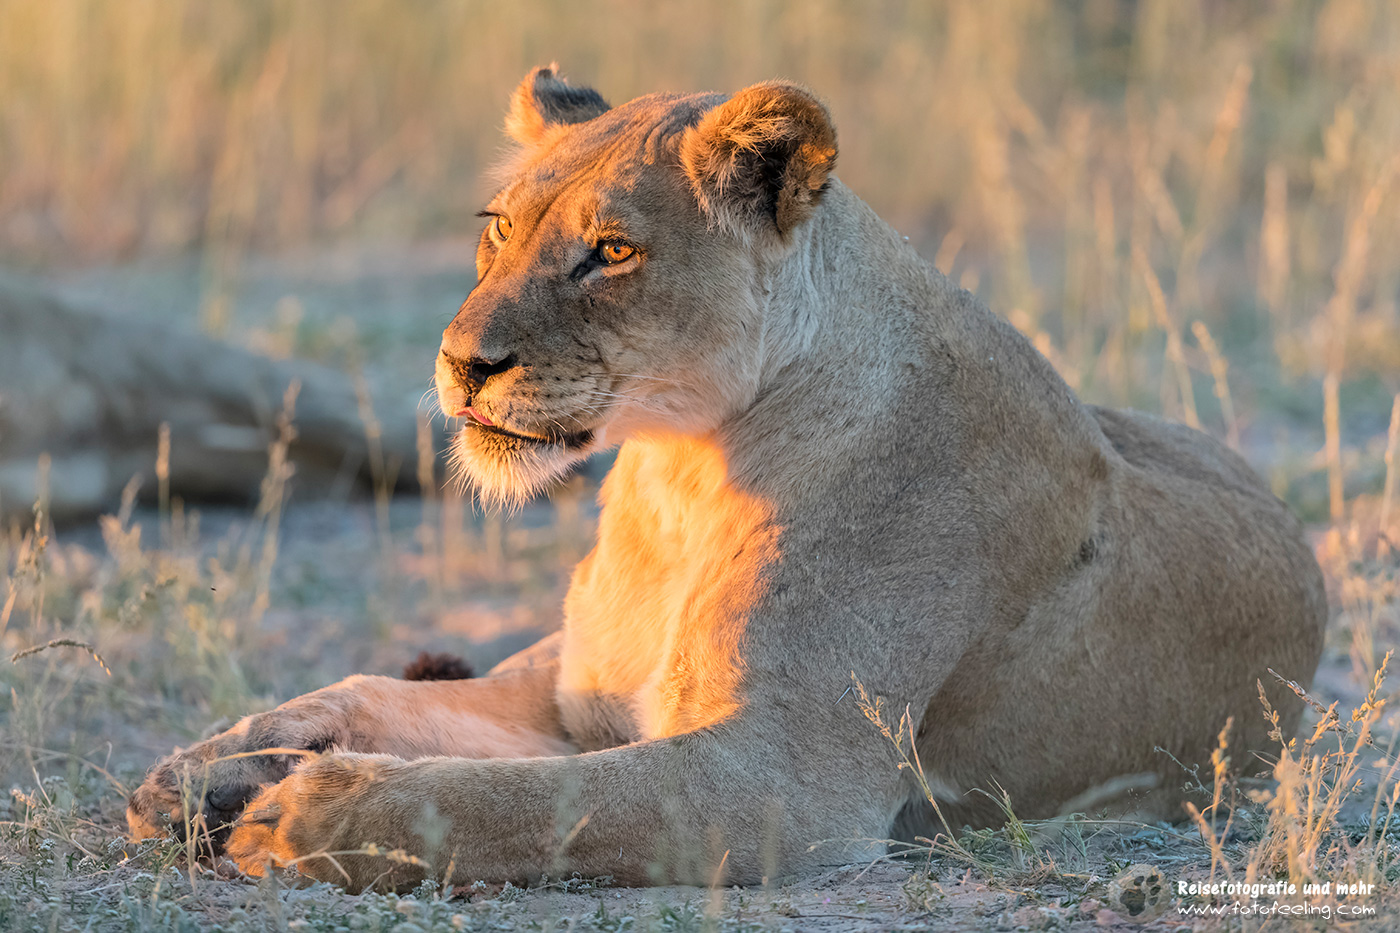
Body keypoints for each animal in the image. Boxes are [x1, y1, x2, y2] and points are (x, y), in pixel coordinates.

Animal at [127, 67, 1327, 892]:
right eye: (499, 230)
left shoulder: (780, 781)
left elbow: (530, 801)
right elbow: (381, 696)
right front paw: (206, 772)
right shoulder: (570, 702)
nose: (461, 363)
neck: (678, 474)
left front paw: (305, 818)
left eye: (611, 252)